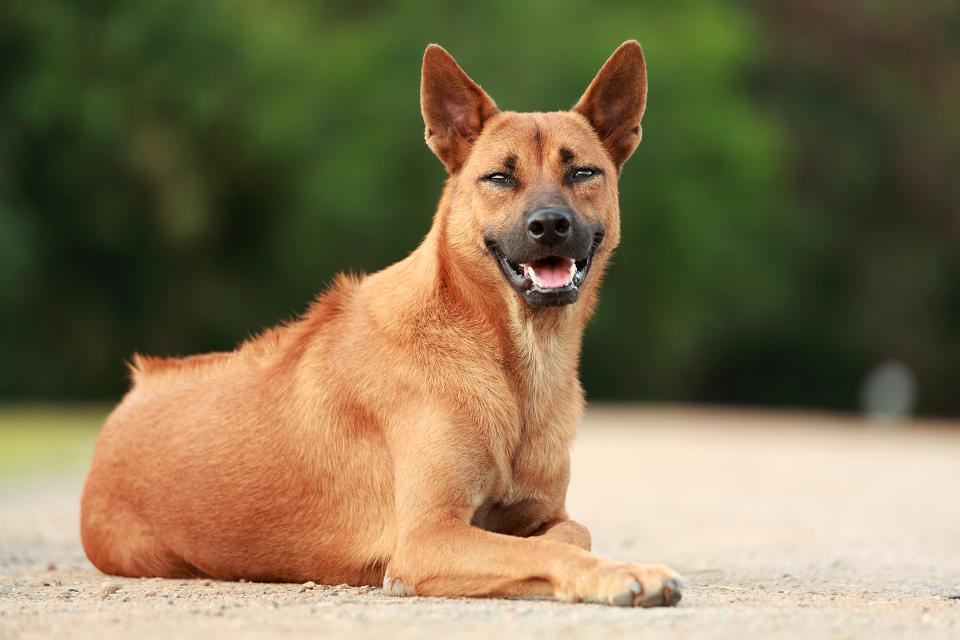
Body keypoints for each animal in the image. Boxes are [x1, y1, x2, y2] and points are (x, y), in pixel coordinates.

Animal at [80, 38, 684, 604]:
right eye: (498, 178)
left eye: (583, 171)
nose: (550, 225)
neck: (511, 361)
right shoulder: (428, 537)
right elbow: (554, 550)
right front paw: (624, 573)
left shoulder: (538, 511)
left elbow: (571, 532)